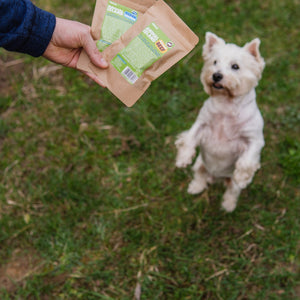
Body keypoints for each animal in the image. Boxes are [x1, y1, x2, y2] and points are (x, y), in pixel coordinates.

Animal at [176, 32, 264, 211]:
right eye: (214, 62)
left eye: (235, 66)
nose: (216, 75)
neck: (226, 106)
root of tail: (216, 177)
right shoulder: (202, 123)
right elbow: (189, 138)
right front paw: (182, 159)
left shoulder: (254, 139)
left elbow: (247, 161)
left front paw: (243, 177)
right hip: (200, 164)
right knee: (200, 175)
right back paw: (195, 188)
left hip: (230, 181)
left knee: (232, 190)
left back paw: (228, 205)